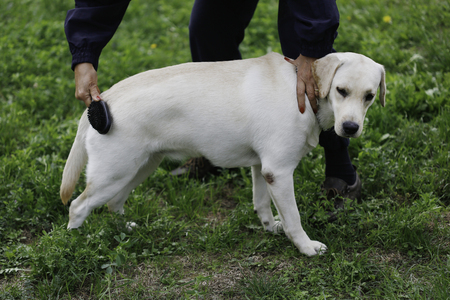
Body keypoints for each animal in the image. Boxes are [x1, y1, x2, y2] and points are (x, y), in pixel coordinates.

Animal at [59, 51, 384, 255]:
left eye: (369, 96)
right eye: (341, 90)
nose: (351, 128)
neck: (302, 90)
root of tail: (102, 99)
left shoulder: (263, 169)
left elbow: (262, 205)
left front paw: (269, 229)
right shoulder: (279, 172)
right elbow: (294, 219)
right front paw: (306, 248)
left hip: (140, 168)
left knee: (114, 203)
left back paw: (124, 229)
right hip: (114, 174)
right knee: (78, 206)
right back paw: (75, 245)